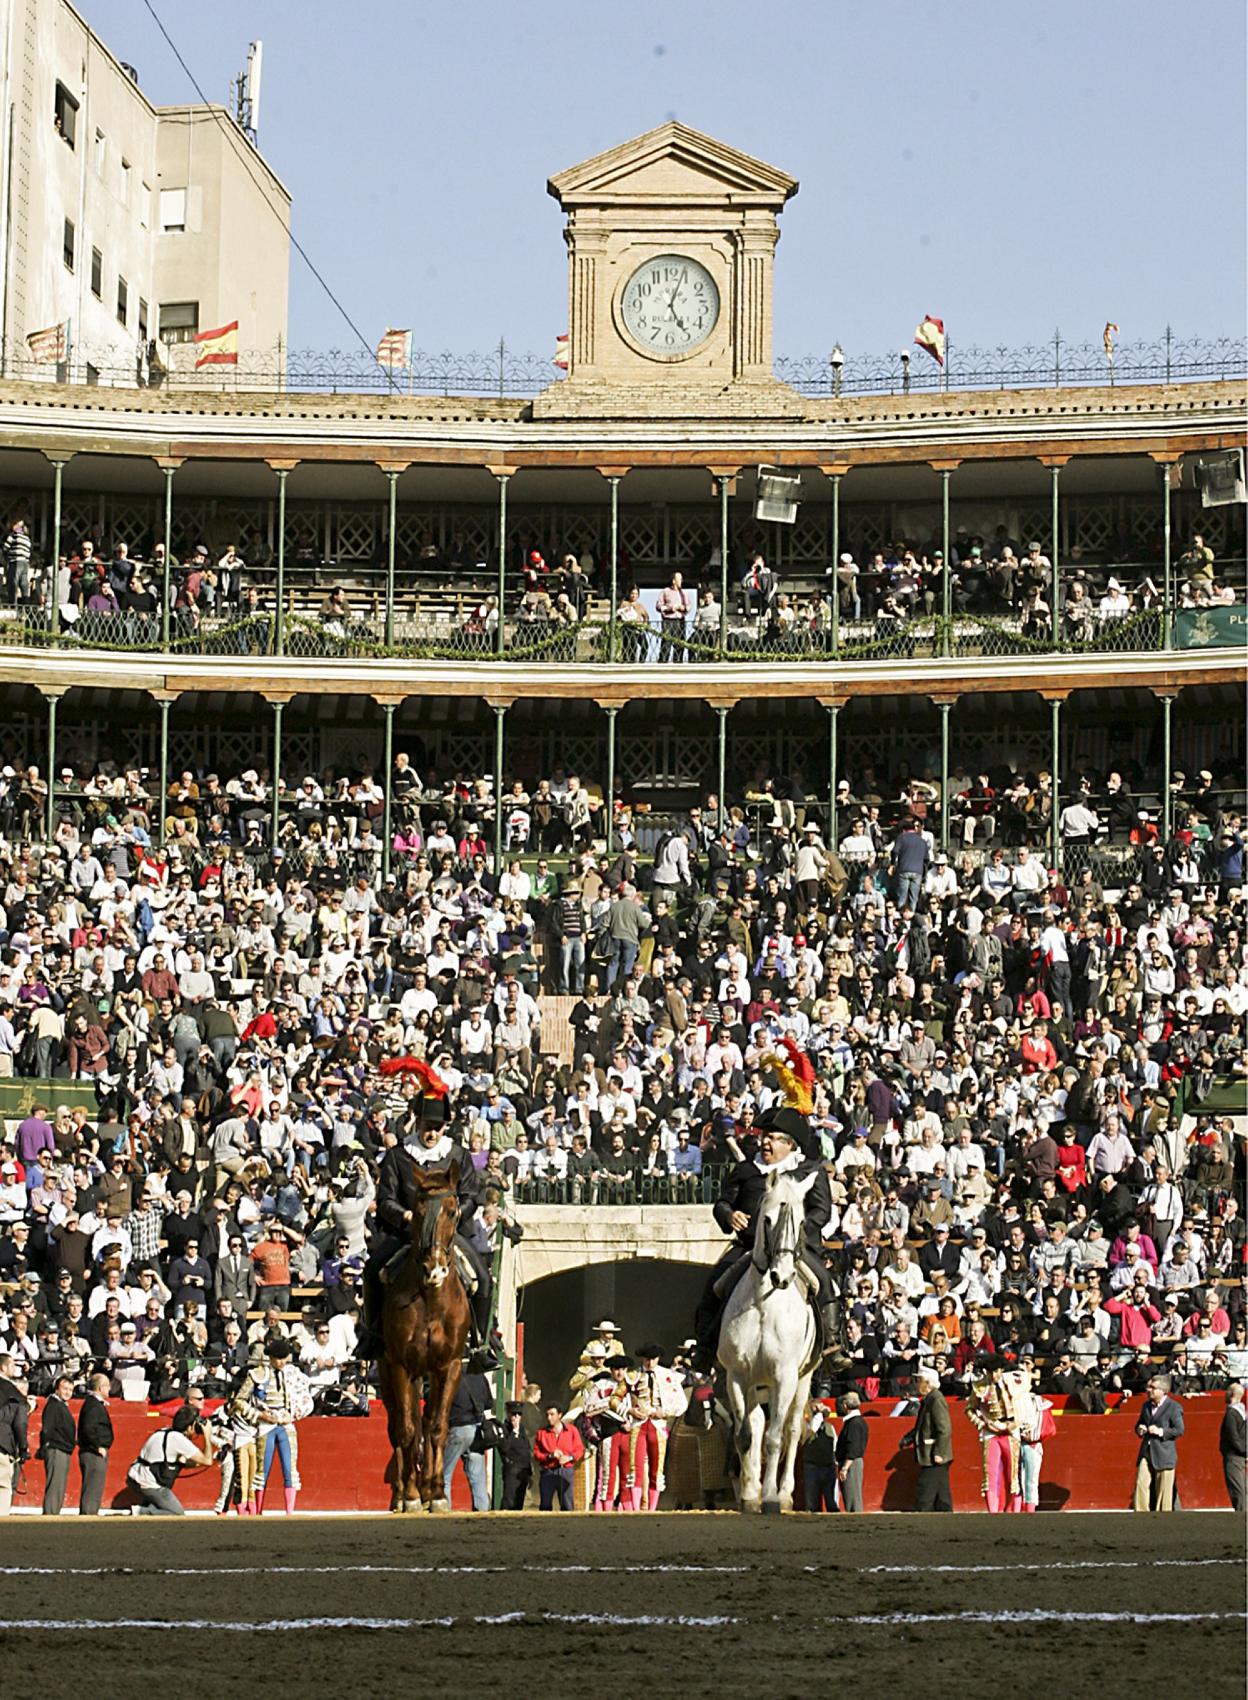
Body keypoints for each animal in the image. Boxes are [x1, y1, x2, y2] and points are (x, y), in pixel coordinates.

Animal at [379, 1156, 472, 1516]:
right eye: (417, 1212)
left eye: (453, 1210)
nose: (434, 1269)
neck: (431, 1299)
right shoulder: (400, 1366)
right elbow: (407, 1430)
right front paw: (411, 1495)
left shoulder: (449, 1366)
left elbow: (437, 1427)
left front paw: (436, 1493)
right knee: (399, 1426)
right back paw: (402, 1494)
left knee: (427, 1421)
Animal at [714, 1169, 822, 1516]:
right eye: (768, 1219)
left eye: (801, 1222)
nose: (782, 1277)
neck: (764, 1301)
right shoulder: (736, 1375)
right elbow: (746, 1435)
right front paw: (750, 1496)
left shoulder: (784, 1377)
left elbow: (776, 1438)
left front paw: (772, 1498)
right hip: (755, 1385)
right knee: (757, 1424)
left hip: (803, 1379)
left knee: (790, 1429)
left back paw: (785, 1492)